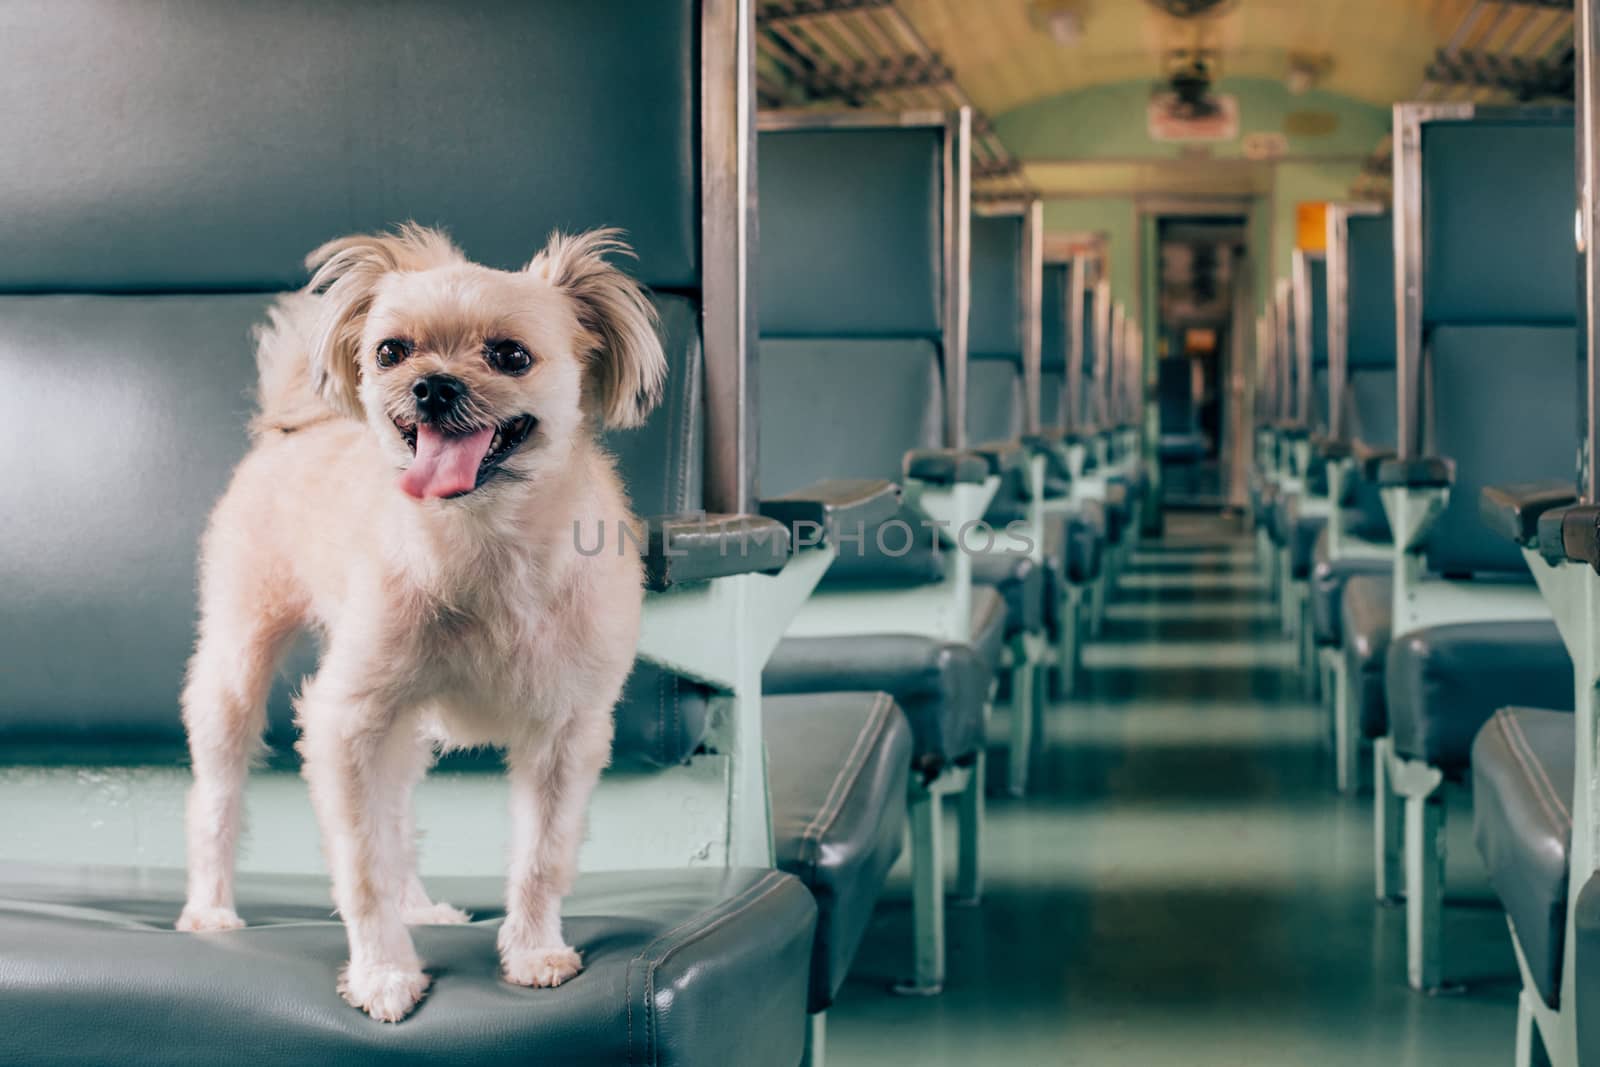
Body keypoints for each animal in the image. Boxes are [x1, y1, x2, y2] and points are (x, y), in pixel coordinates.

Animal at [176, 227, 668, 1023]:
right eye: (390, 351)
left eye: (510, 355)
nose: (432, 385)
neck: (481, 544)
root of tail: (292, 426)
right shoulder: (348, 723)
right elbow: (362, 863)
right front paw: (382, 972)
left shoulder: (566, 734)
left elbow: (541, 856)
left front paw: (533, 950)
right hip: (237, 670)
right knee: (218, 798)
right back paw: (211, 908)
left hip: (403, 727)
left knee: (400, 814)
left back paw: (420, 906)